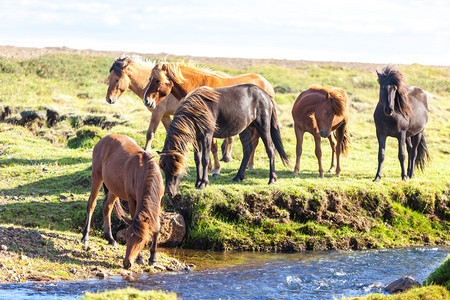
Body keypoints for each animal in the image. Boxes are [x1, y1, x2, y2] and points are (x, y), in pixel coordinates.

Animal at [81, 134, 164, 270]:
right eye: (127, 236)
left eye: (141, 240)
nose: (127, 263)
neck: (145, 172)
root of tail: (103, 139)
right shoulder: (132, 199)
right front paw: (140, 258)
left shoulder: (158, 201)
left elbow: (156, 227)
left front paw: (153, 258)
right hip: (97, 177)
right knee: (91, 204)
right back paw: (85, 236)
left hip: (114, 188)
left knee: (107, 206)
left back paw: (110, 238)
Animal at [142, 59, 276, 170]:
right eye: (149, 79)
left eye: (158, 80)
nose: (146, 101)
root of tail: (266, 84)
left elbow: (212, 147)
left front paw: (215, 170)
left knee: (255, 141)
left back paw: (250, 165)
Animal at [158, 83, 290, 198]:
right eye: (163, 168)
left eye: (174, 168)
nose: (169, 193)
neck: (197, 109)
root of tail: (266, 95)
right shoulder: (196, 138)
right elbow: (197, 159)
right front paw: (197, 182)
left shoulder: (207, 136)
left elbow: (205, 159)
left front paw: (203, 183)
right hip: (245, 129)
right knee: (248, 149)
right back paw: (238, 177)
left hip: (263, 126)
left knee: (270, 149)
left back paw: (272, 179)